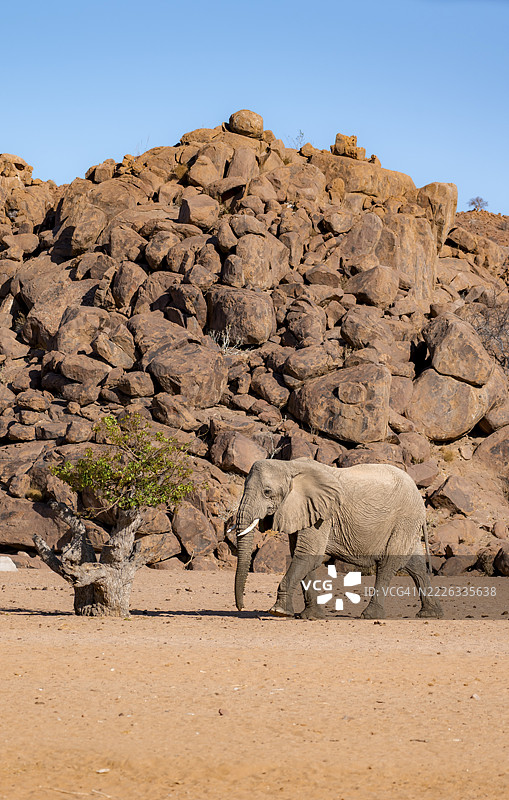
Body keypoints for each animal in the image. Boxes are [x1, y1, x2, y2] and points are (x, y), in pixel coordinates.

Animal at [234, 458, 443, 620]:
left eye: (267, 492)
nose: (241, 607)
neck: (289, 465)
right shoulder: (302, 510)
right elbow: (304, 557)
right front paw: (311, 616)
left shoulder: (322, 514)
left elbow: (308, 555)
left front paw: (278, 612)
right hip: (408, 523)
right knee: (415, 565)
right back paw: (430, 614)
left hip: (404, 519)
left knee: (388, 565)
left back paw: (370, 615)